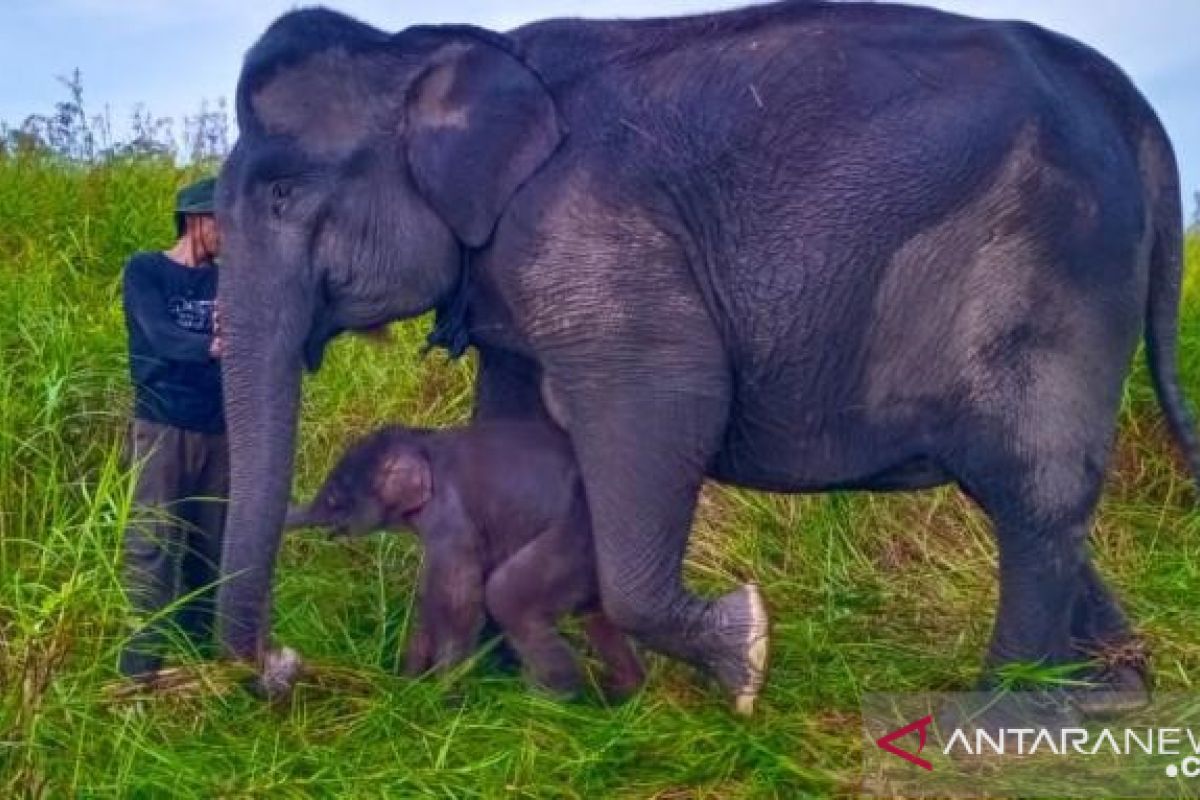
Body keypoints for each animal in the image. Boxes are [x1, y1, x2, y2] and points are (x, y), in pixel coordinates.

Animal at [285, 422, 643, 695]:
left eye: (333, 499)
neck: (423, 441)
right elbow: (430, 599)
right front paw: (406, 688)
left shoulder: (451, 521)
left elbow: (457, 604)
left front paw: (440, 695)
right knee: (596, 615)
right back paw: (619, 698)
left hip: (574, 541)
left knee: (507, 598)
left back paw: (548, 704)